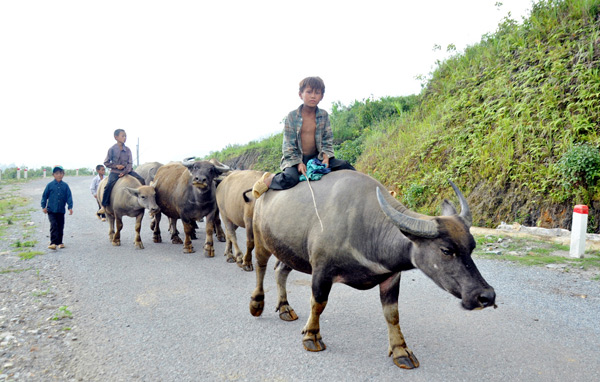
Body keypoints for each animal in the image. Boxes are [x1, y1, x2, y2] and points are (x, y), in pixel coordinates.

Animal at [250, 170, 496, 370]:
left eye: (472, 246)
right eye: (446, 250)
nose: (486, 296)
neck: (366, 227)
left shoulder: (391, 277)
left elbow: (392, 314)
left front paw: (401, 351)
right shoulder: (321, 270)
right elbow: (318, 303)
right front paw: (311, 336)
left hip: (289, 251)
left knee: (280, 270)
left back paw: (284, 308)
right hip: (260, 239)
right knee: (261, 268)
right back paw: (257, 303)